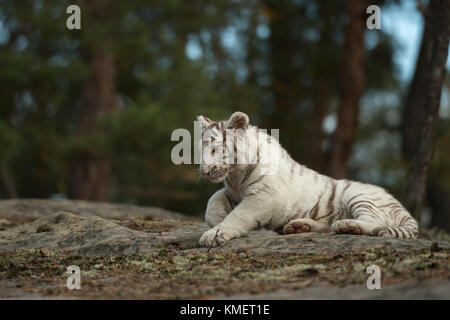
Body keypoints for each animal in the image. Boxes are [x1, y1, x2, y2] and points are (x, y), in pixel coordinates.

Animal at [197, 110, 418, 248]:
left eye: (214, 149)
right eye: (201, 149)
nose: (204, 172)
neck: (235, 175)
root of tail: (404, 210)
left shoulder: (265, 195)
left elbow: (239, 215)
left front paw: (214, 234)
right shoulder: (234, 192)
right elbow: (213, 200)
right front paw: (217, 218)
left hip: (360, 196)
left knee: (374, 221)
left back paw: (348, 226)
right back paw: (299, 226)